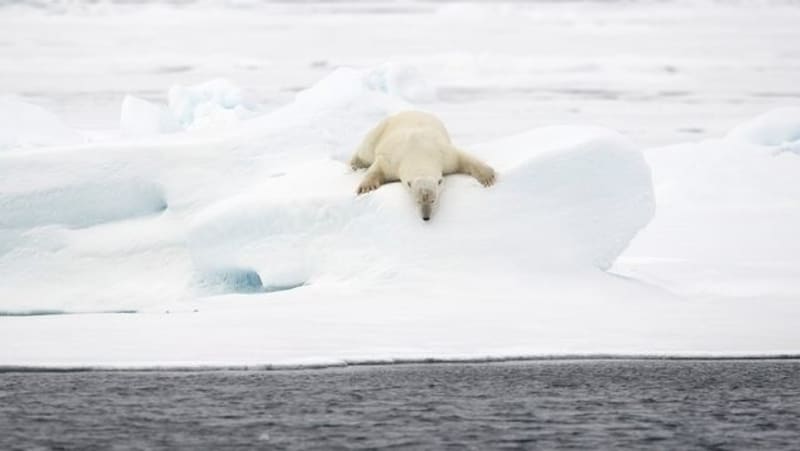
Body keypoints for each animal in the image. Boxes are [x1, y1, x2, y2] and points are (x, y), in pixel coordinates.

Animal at [348, 111, 494, 221]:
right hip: (379, 131)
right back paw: (354, 164)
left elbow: (462, 158)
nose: (426, 217)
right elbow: (378, 167)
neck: (418, 151)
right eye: (417, 201)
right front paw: (366, 187)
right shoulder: (393, 160)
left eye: (433, 200)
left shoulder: (444, 154)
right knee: (366, 151)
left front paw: (488, 177)